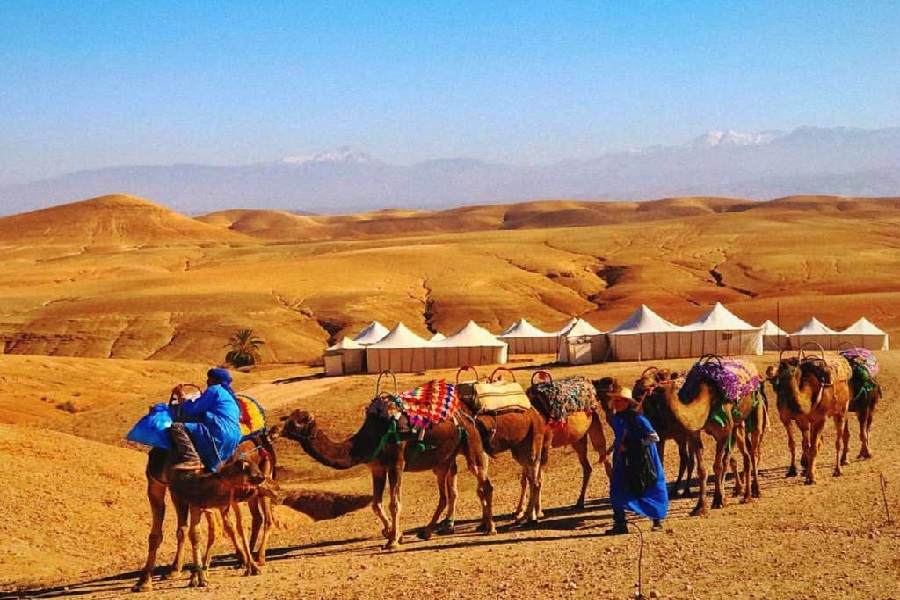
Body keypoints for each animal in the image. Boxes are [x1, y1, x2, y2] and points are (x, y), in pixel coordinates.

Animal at [284, 382, 488, 548]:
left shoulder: (396, 464)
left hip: (471, 445)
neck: (369, 438)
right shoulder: (377, 468)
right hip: (444, 460)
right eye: (287, 419)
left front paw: (392, 541)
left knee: (481, 483)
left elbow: (394, 503)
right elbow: (376, 504)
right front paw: (394, 533)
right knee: (447, 494)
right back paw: (429, 531)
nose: (277, 431)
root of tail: (466, 411)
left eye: (297, 422)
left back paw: (487, 526)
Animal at [458, 366, 548, 524]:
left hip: (533, 443)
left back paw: (527, 517)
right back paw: (526, 515)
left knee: (535, 481)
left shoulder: (478, 452)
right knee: (531, 478)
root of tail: (536, 413)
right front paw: (483, 522)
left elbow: (483, 487)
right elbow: (480, 489)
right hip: (520, 449)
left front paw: (487, 523)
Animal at [524, 372, 608, 512]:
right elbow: (528, 477)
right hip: (578, 439)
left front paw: (537, 511)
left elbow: (537, 477)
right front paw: (522, 511)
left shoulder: (543, 445)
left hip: (595, 423)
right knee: (588, 467)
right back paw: (580, 502)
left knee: (604, 456)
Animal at [768, 350, 852, 486]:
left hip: (841, 411)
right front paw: (799, 471)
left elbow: (813, 448)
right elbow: (804, 446)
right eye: (779, 365)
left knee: (838, 441)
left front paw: (811, 477)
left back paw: (838, 470)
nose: (770, 370)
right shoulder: (799, 419)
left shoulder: (820, 419)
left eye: (790, 367)